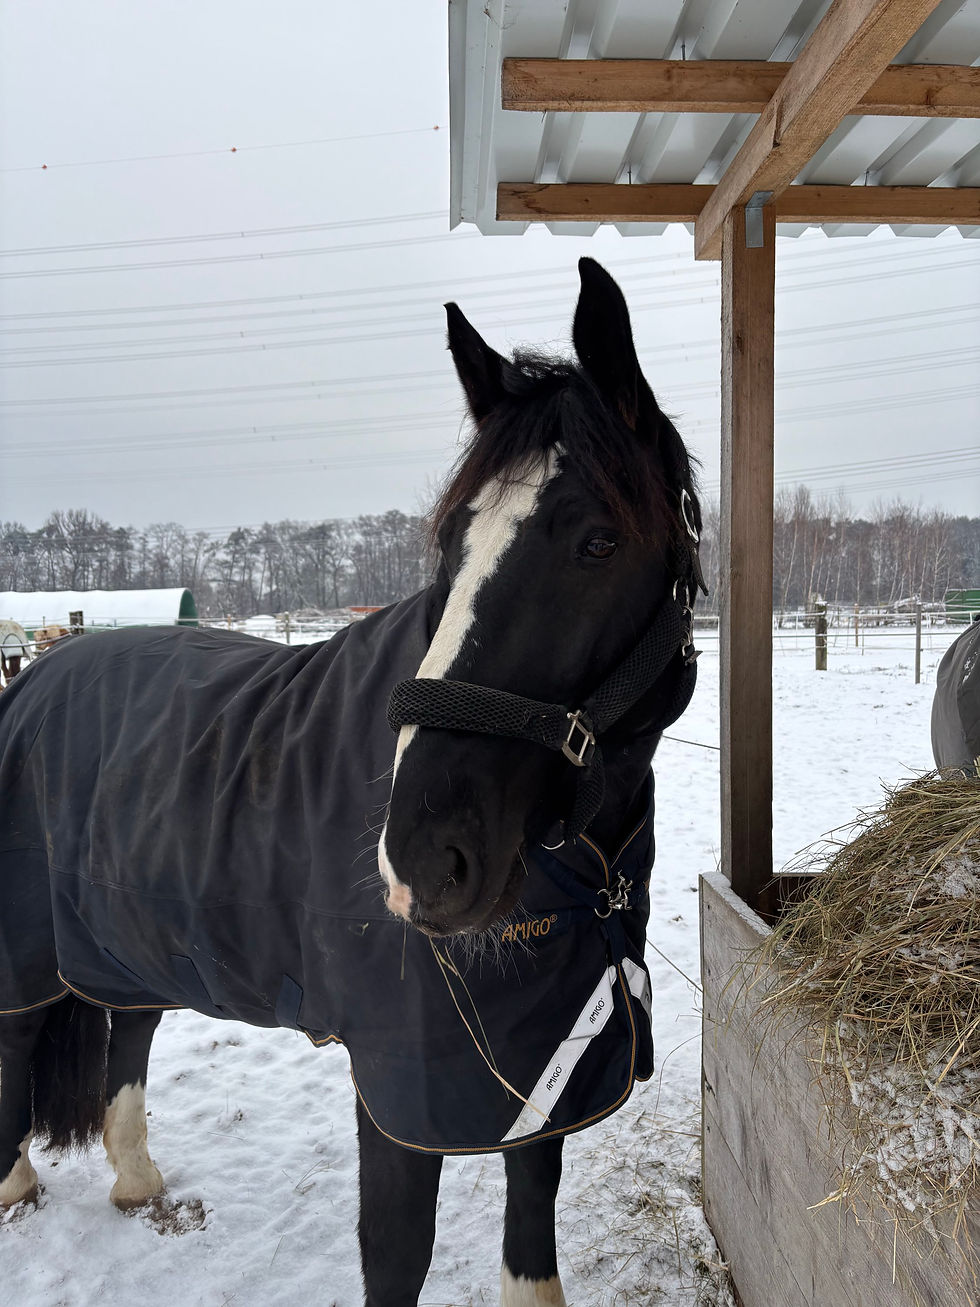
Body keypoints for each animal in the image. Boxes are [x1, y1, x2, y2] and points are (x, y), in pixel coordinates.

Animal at [0, 258, 703, 1306]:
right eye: (450, 544)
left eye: (599, 542)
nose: (424, 859)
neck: (585, 875)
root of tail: (36, 672)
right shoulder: (403, 1085)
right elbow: (397, 1251)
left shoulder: (532, 1071)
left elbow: (530, 1225)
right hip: (24, 955)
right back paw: (14, 1186)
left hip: (128, 935)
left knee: (129, 1033)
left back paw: (135, 1179)